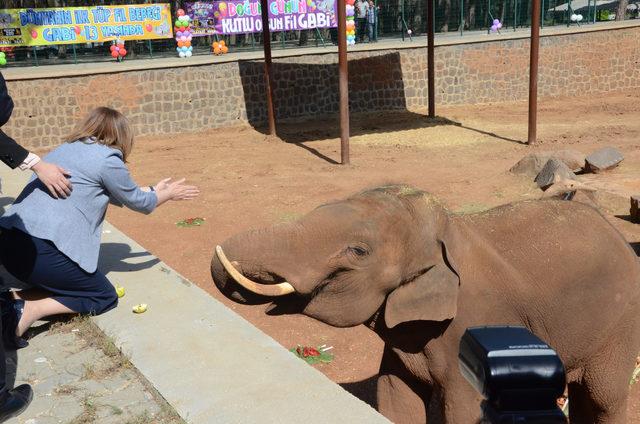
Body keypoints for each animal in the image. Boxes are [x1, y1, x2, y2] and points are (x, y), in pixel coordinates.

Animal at [211, 186, 640, 424]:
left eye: (358, 251)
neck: (446, 231)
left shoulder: (471, 325)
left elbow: (463, 409)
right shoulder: (402, 337)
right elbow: (394, 396)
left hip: (621, 327)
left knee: (605, 397)